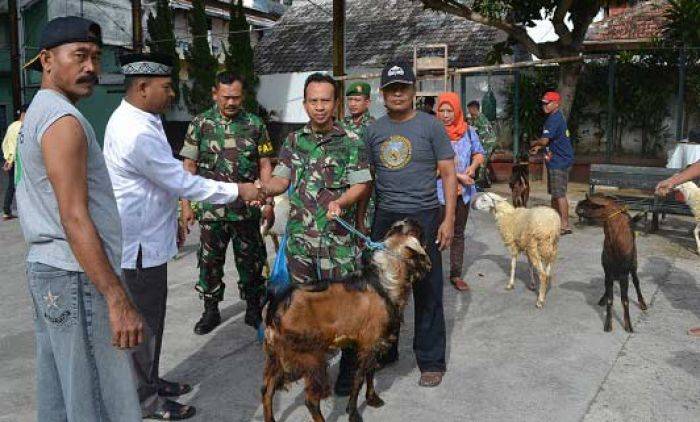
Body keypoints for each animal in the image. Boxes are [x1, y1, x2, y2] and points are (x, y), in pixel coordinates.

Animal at [260, 219, 430, 420]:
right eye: (420, 232)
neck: (384, 280)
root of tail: (276, 303)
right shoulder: (369, 341)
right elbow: (359, 377)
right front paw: (353, 412)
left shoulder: (373, 342)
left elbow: (370, 372)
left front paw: (372, 398)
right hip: (310, 357)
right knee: (311, 400)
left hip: (275, 355)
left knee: (267, 390)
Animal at [576, 195, 644, 332]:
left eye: (591, 204)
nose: (577, 205)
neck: (615, 244)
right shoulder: (608, 271)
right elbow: (610, 300)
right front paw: (608, 324)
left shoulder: (624, 274)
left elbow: (625, 300)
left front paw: (628, 325)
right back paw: (603, 298)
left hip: (633, 264)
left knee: (636, 282)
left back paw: (642, 303)